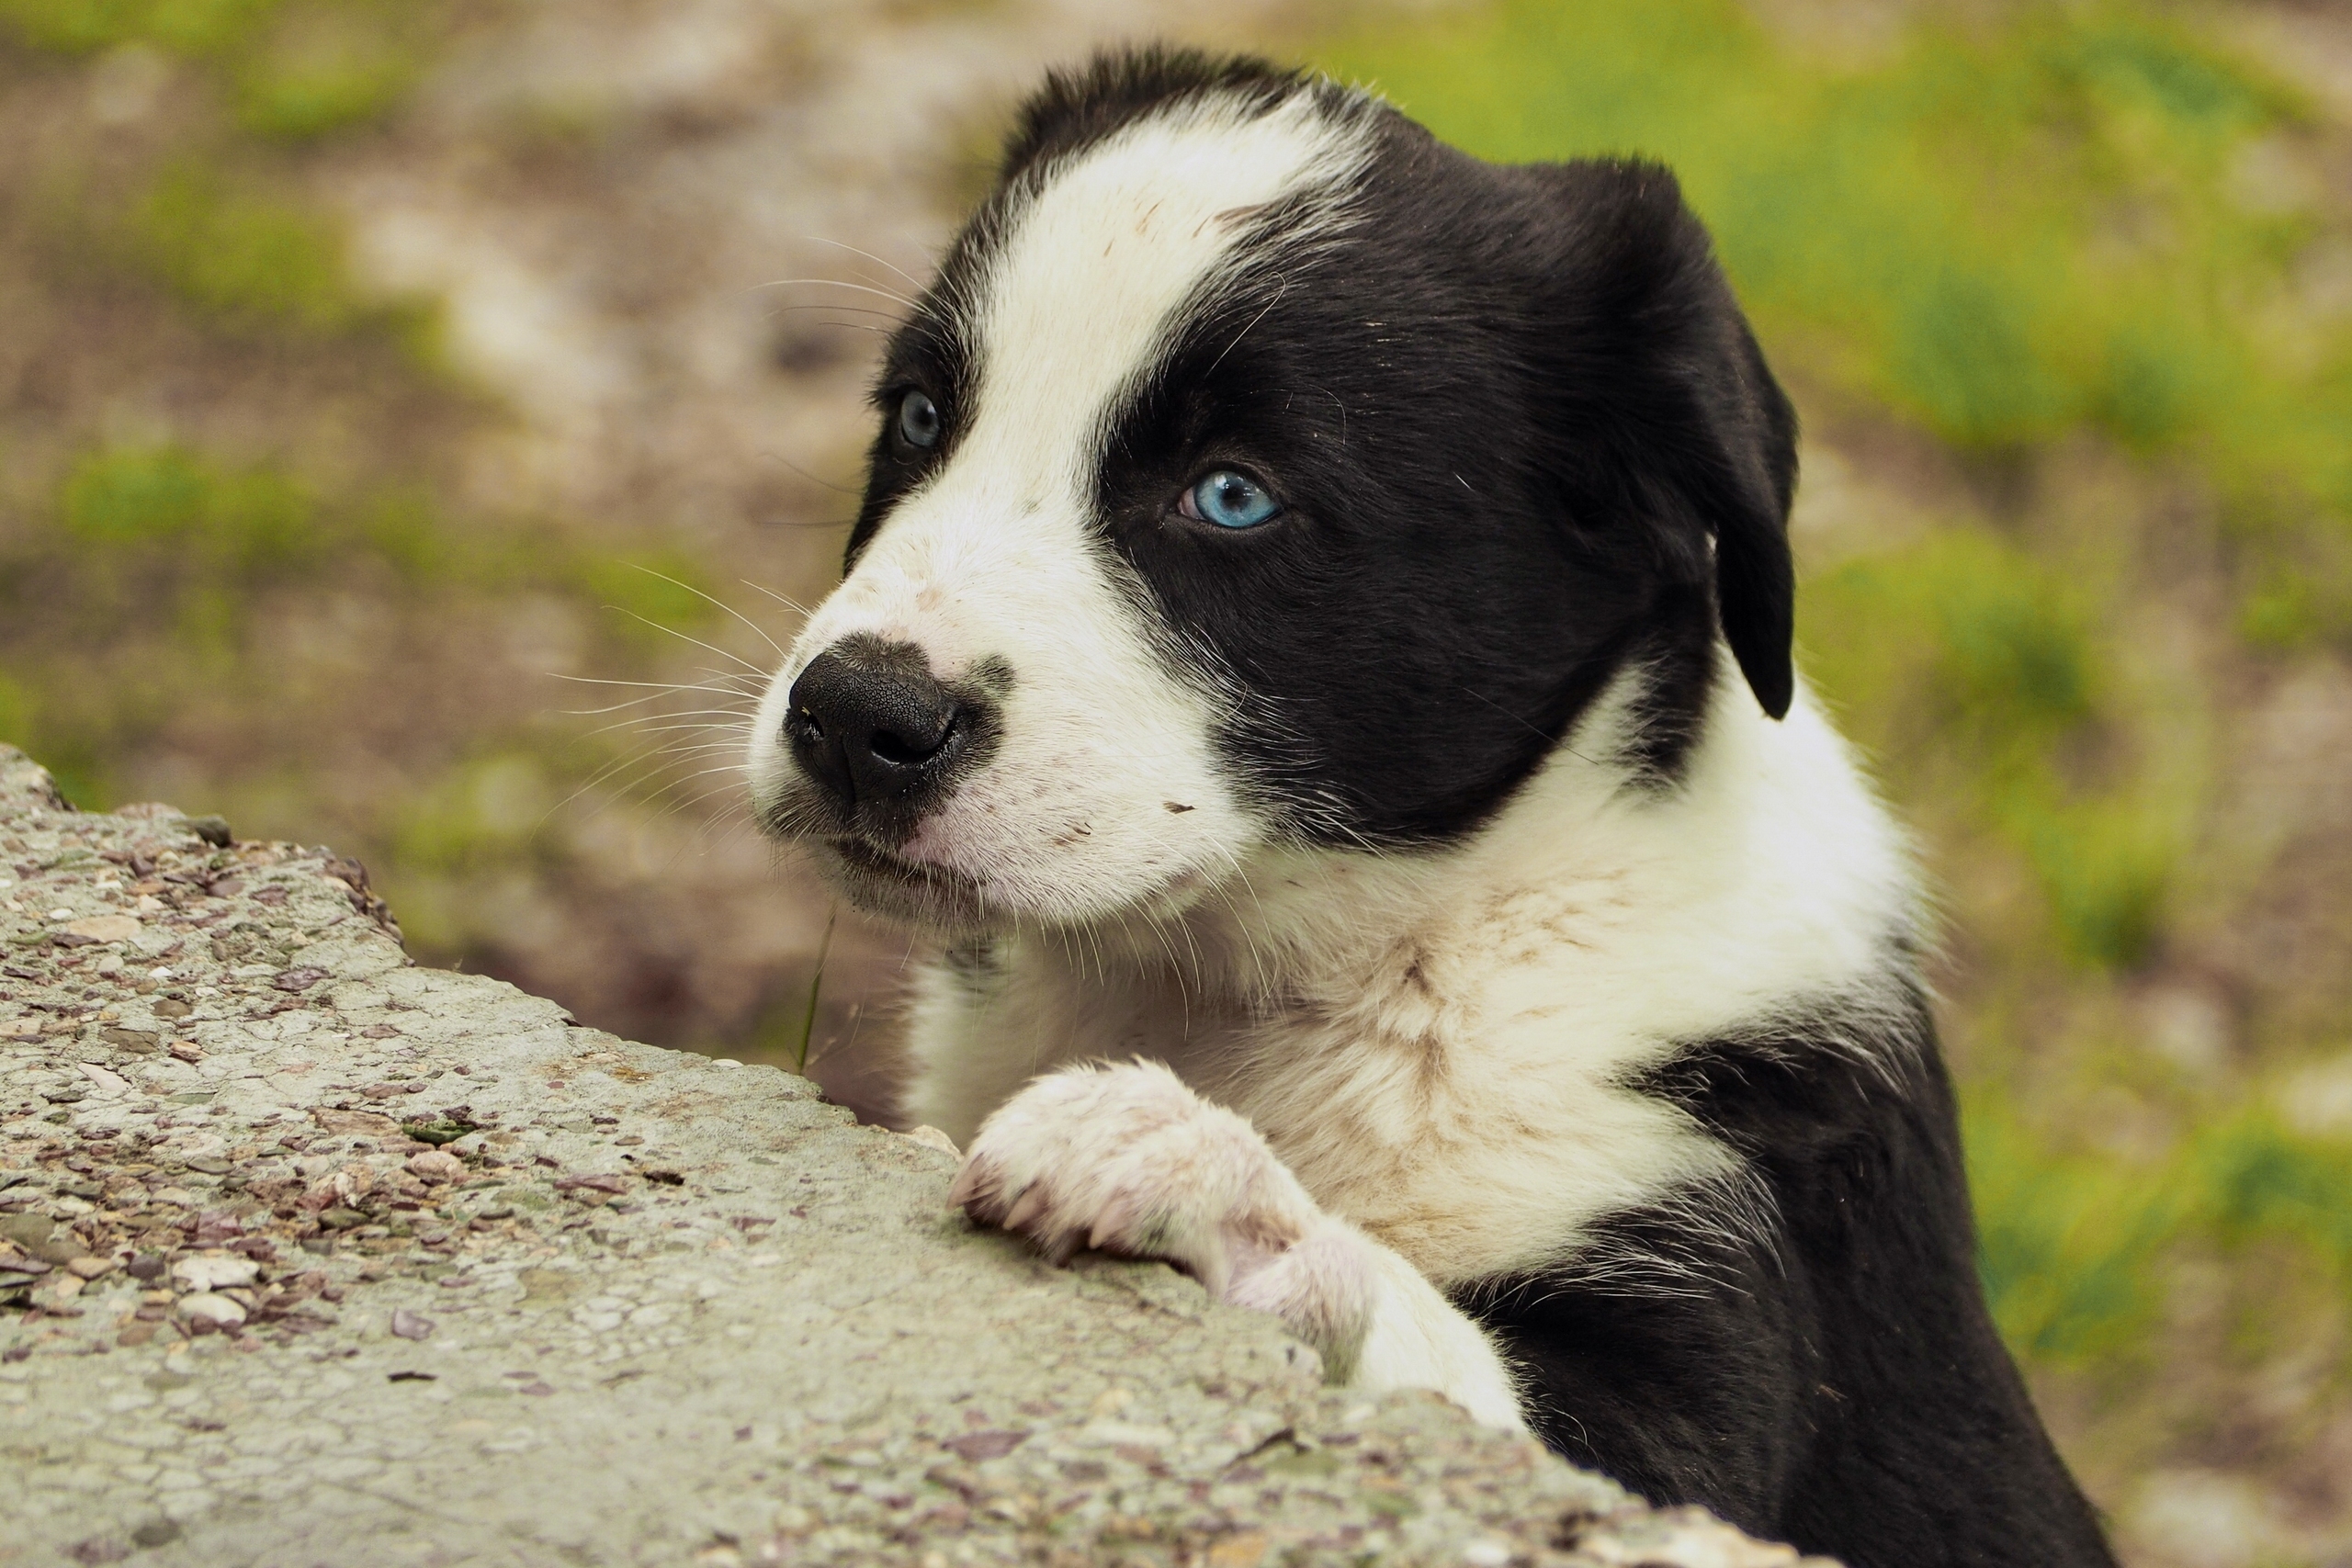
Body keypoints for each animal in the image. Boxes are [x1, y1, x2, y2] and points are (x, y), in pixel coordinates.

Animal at [748, 49, 2117, 1568]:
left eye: (1232, 495)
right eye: (922, 417)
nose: (854, 719)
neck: (1410, 945)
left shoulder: (1703, 1373)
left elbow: (1424, 1332)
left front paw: (1199, 1173)